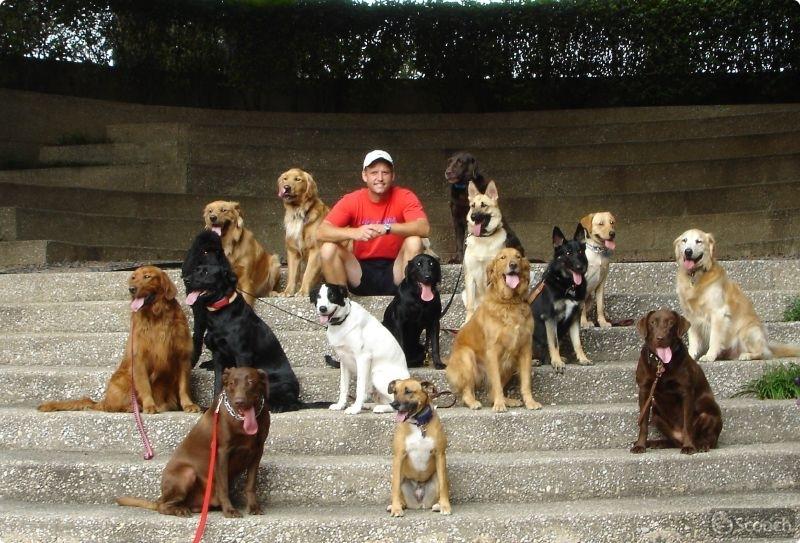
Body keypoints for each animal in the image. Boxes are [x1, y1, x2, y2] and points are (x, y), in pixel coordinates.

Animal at [310, 282, 410, 414]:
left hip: (377, 375)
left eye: (332, 296)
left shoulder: (363, 358)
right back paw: (370, 405)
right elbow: (343, 387)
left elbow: (359, 387)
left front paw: (355, 409)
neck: (343, 321)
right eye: (318, 296)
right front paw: (340, 405)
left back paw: (379, 408)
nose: (322, 308)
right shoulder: (344, 361)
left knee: (396, 404)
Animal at [388, 380, 450, 516]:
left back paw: (438, 505)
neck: (419, 424)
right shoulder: (398, 457)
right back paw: (399, 505)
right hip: (401, 477)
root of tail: (419, 502)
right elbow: (395, 487)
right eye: (395, 391)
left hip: (436, 477)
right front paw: (396, 508)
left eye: (408, 391)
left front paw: (445, 506)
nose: (393, 404)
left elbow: (444, 485)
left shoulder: (440, 455)